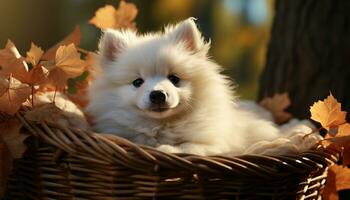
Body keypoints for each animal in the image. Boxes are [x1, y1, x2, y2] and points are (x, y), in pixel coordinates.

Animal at [87, 18, 318, 156]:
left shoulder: (215, 145)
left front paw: (168, 148)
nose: (158, 94)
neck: (162, 126)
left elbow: (188, 146)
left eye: (174, 79)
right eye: (137, 82)